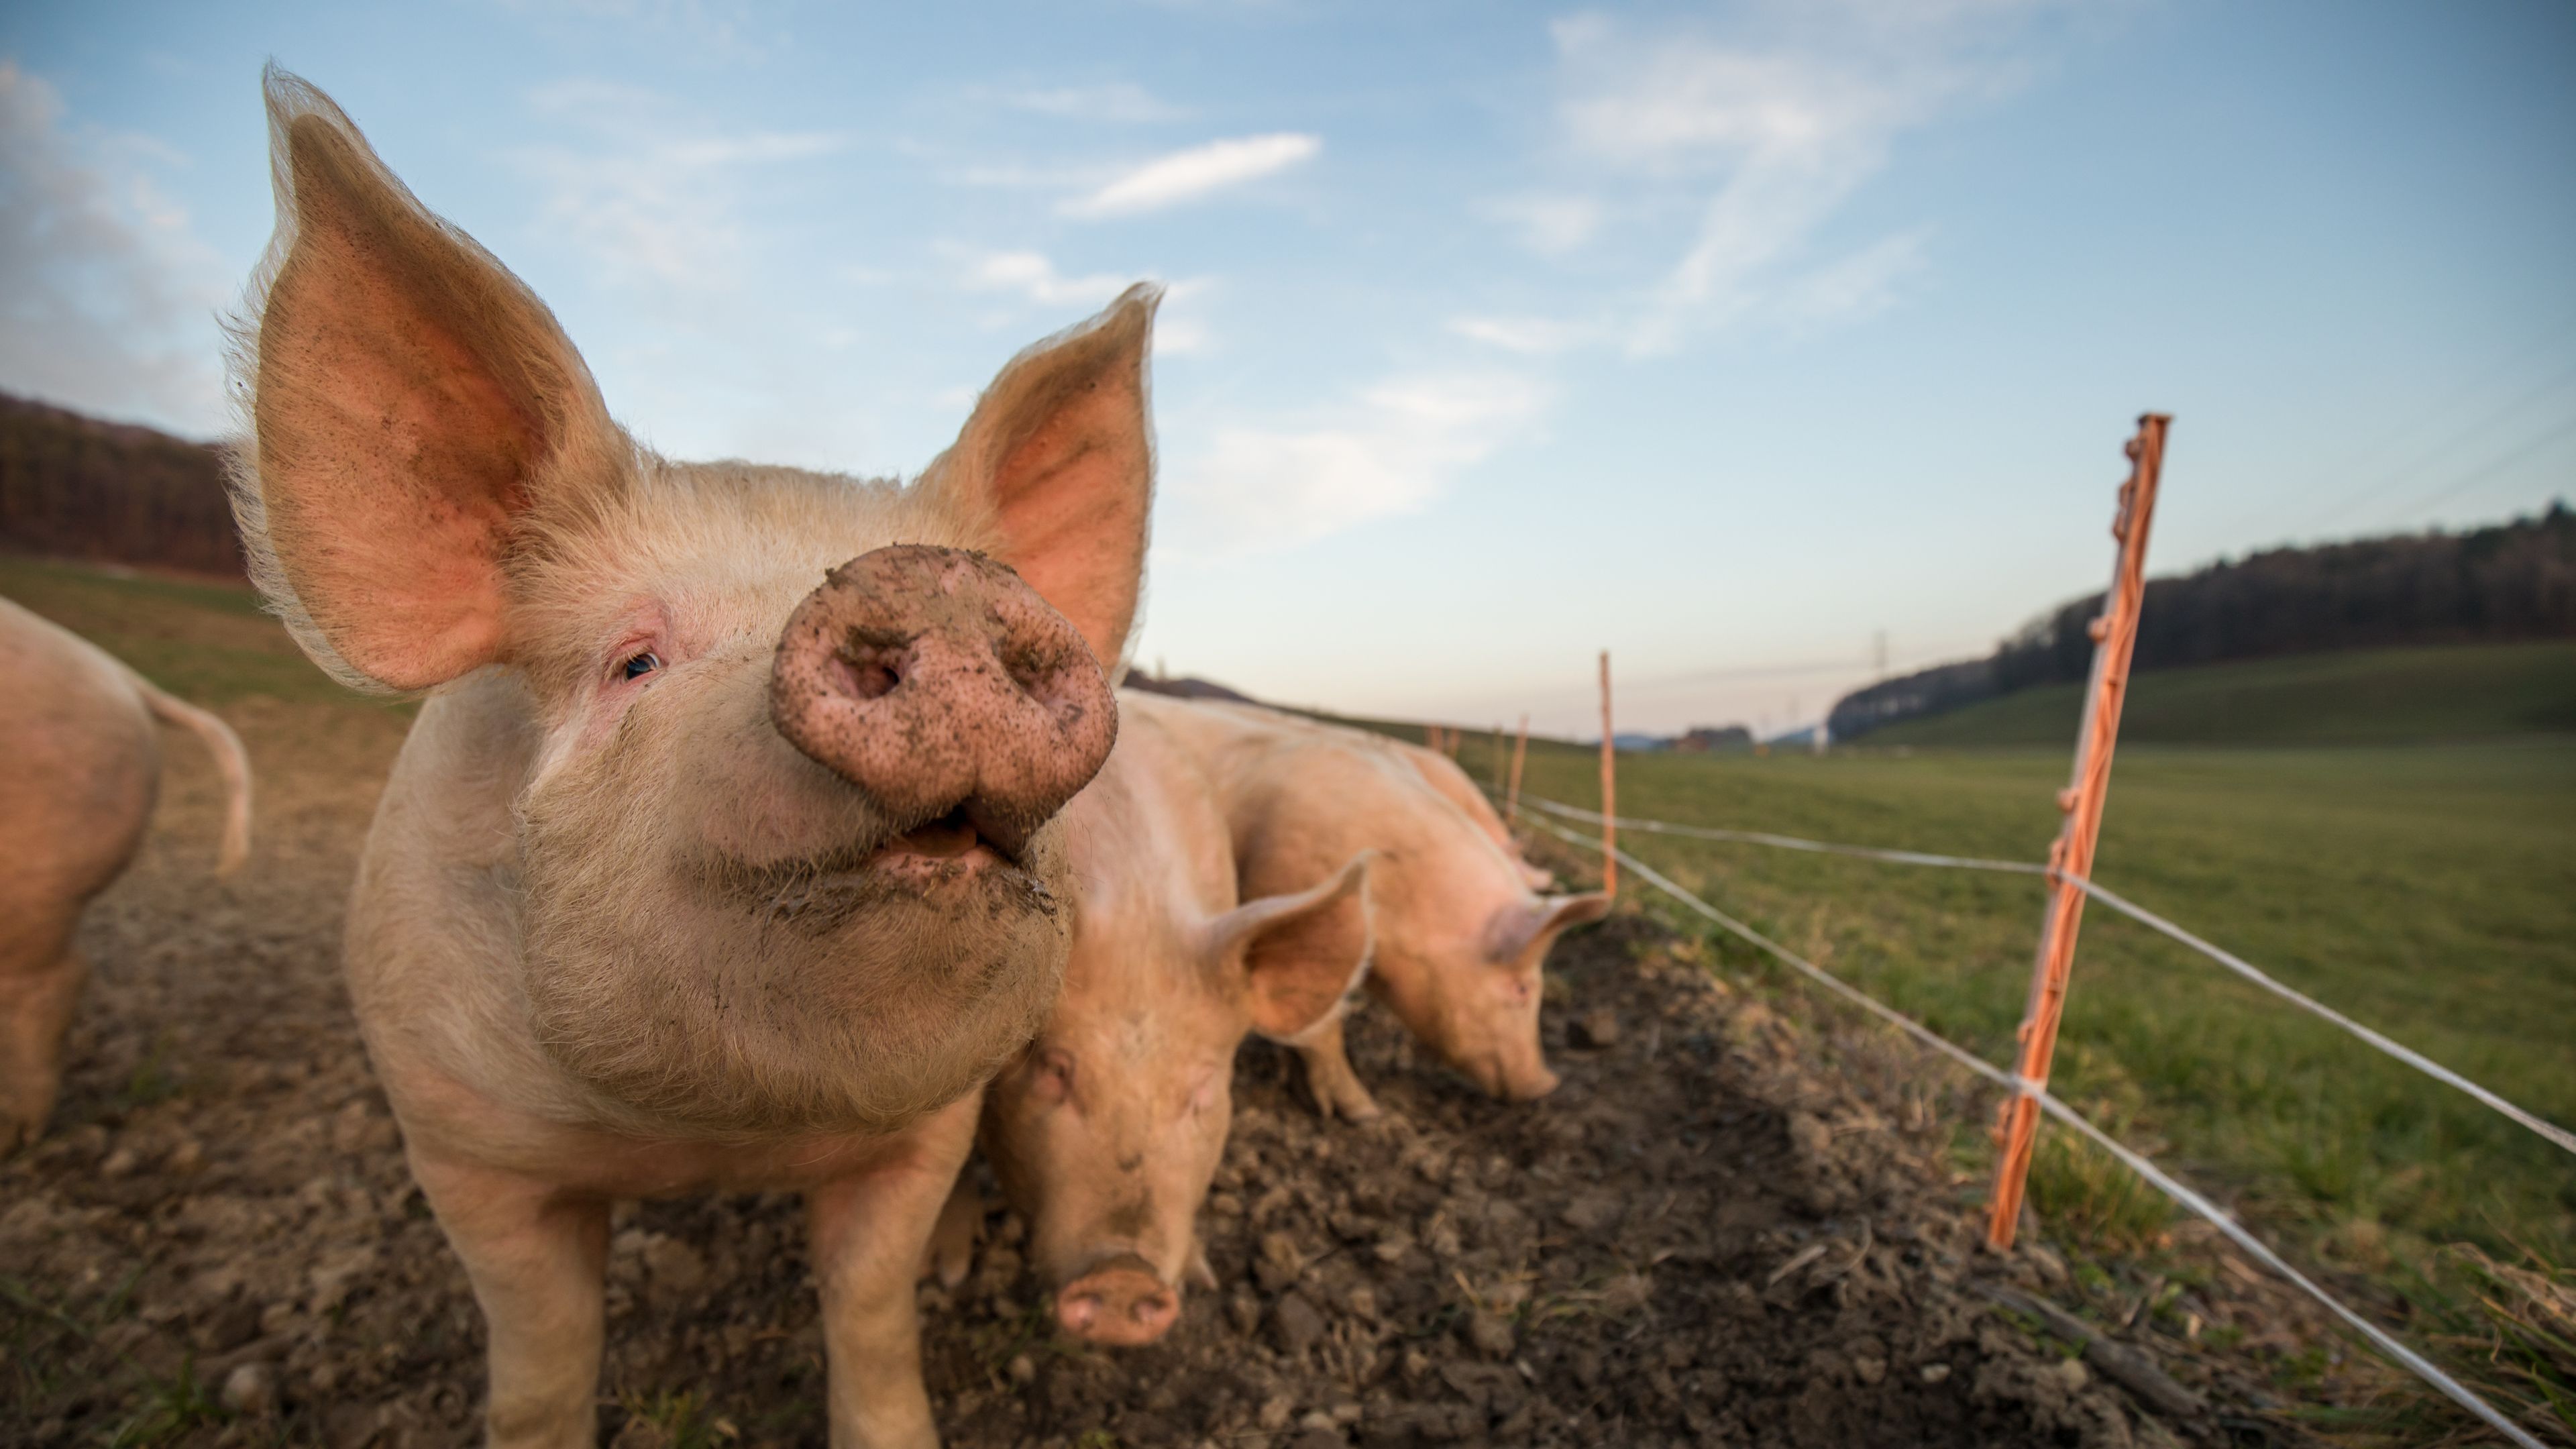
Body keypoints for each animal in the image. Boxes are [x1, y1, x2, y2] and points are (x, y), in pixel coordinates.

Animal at [227, 70, 1156, 1448]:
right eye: (633, 664)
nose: (936, 583)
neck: (708, 1139)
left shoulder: (921, 1132)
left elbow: (869, 1312)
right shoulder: (461, 1141)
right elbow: (542, 1354)